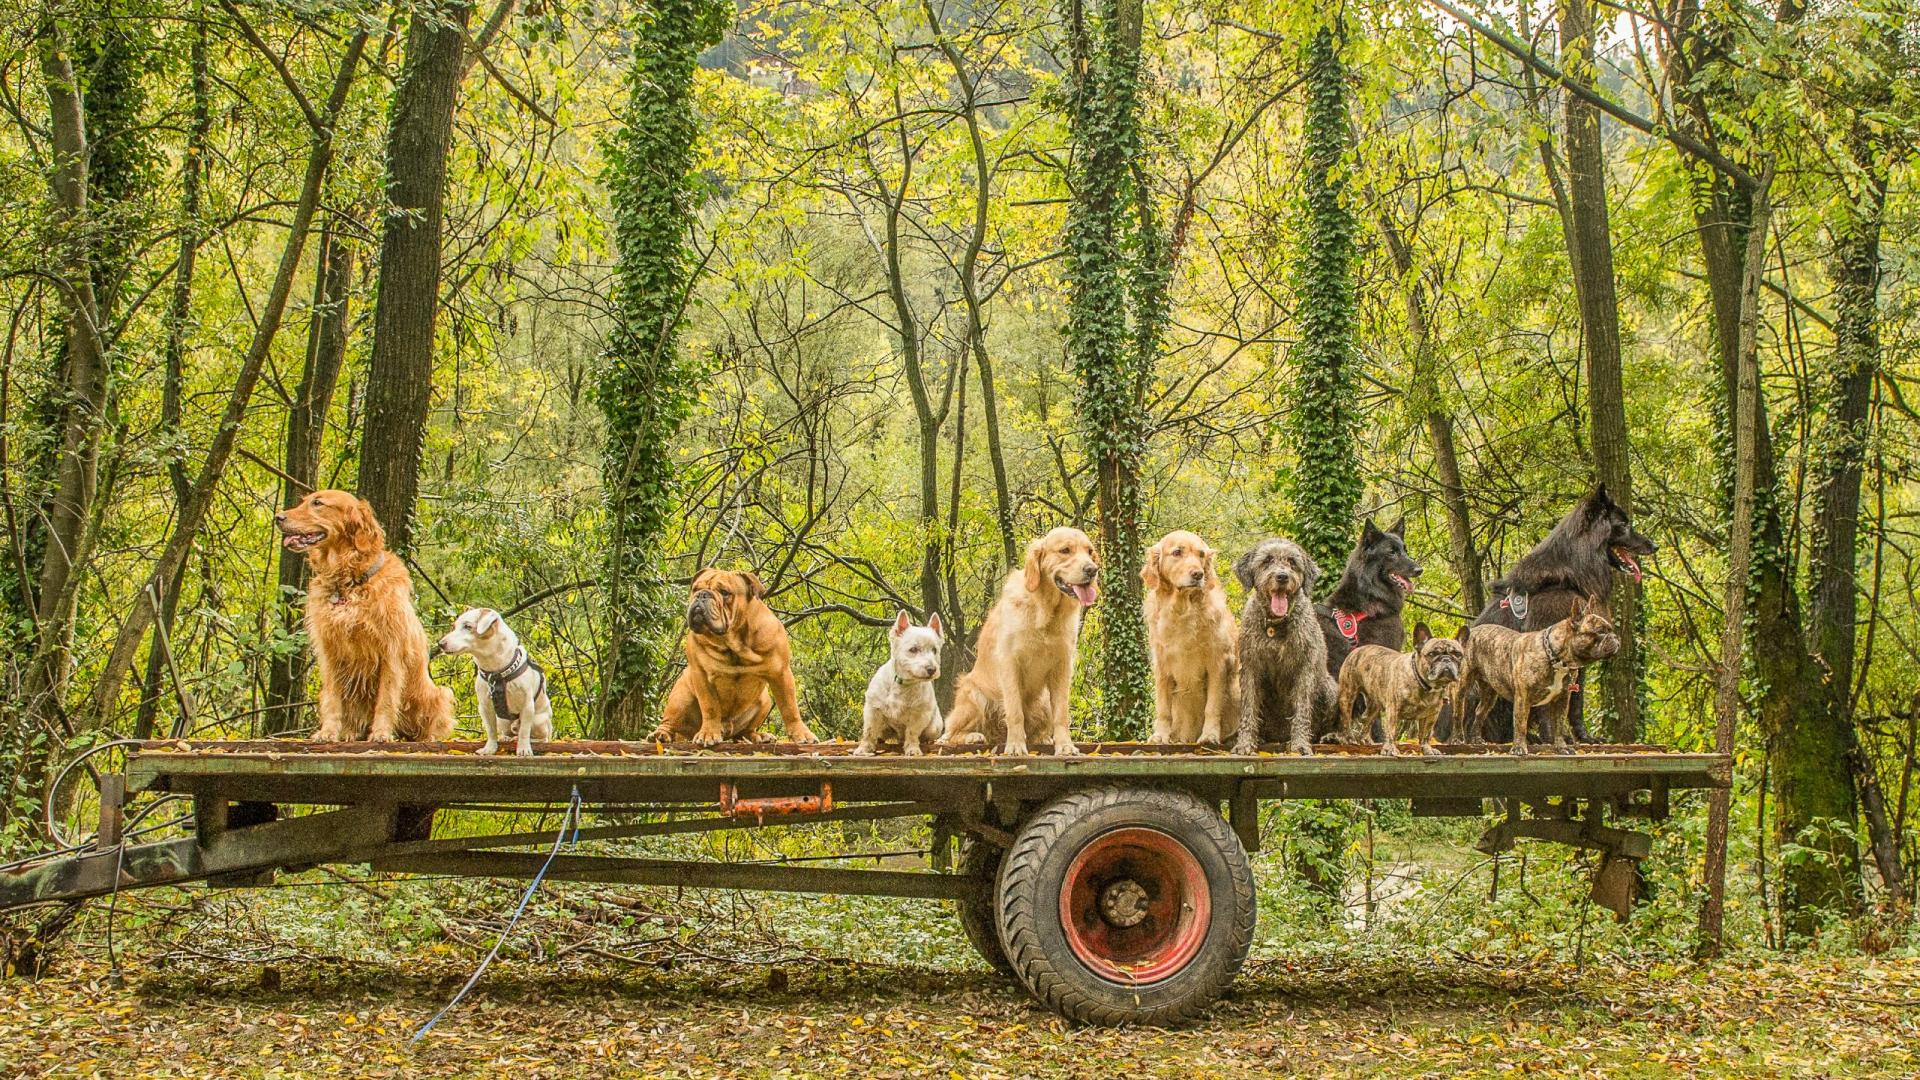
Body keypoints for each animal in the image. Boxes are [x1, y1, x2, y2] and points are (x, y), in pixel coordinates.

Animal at [437, 607, 552, 757]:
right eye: (454, 627)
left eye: (468, 626)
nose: (440, 644)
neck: (495, 670)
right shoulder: (485, 706)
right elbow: (491, 730)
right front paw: (490, 748)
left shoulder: (527, 705)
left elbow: (524, 731)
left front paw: (524, 749)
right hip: (502, 720)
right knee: (507, 731)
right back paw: (506, 737)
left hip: (538, 721)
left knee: (540, 737)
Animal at [856, 611, 944, 753]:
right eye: (913, 649)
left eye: (934, 650)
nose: (931, 669)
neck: (903, 684)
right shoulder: (873, 709)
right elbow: (869, 731)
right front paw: (864, 748)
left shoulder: (919, 714)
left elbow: (912, 732)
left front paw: (912, 749)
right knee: (879, 733)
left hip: (934, 727)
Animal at [1228, 538, 1336, 757]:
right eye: (1267, 560)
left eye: (1292, 562)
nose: (1282, 576)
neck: (1275, 625)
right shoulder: (1250, 668)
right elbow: (1249, 708)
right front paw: (1245, 743)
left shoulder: (1304, 669)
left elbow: (1301, 708)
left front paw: (1300, 744)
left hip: (1330, 689)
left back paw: (1330, 736)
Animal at [1451, 591, 1620, 753]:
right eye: (1600, 631)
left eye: (1610, 630)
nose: (1615, 637)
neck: (1555, 657)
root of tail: (1472, 631)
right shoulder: (1523, 697)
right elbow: (1521, 724)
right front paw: (1519, 748)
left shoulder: (1563, 698)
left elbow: (1559, 725)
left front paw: (1562, 747)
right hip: (1462, 686)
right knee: (1458, 714)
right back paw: (1458, 739)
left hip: (1490, 693)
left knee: (1480, 711)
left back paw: (1476, 739)